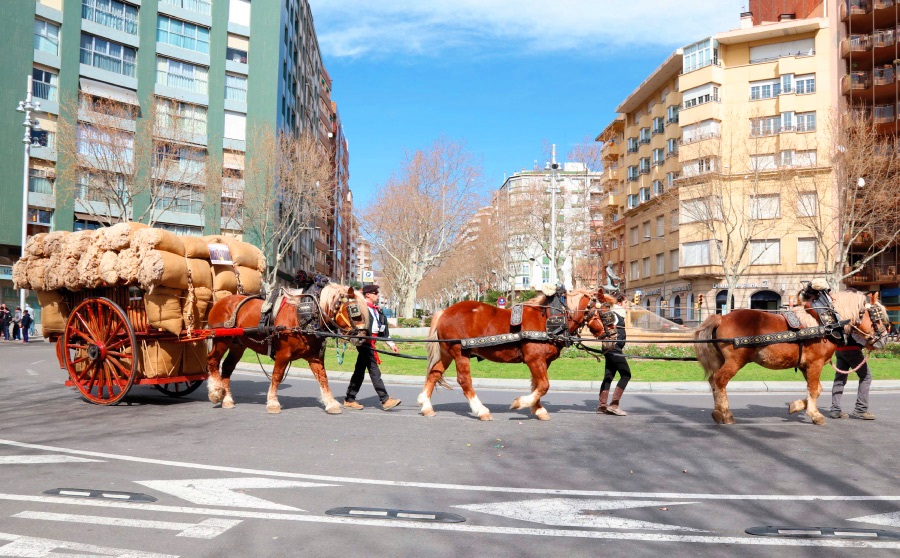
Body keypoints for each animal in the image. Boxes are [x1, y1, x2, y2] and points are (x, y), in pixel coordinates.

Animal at [207, 284, 366, 416]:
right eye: (354, 311)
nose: (362, 337)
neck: (306, 317)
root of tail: (220, 302)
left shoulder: (315, 357)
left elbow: (323, 378)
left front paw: (331, 403)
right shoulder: (283, 354)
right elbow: (277, 376)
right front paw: (273, 403)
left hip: (238, 344)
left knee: (227, 367)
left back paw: (227, 399)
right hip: (222, 340)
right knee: (212, 360)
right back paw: (216, 392)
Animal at [416, 290, 616, 422]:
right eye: (607, 314)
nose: (614, 339)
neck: (550, 319)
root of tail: (444, 312)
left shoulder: (543, 361)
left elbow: (537, 385)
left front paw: (537, 409)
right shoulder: (534, 360)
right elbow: (544, 385)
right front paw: (520, 403)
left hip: (446, 353)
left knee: (434, 374)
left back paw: (426, 405)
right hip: (460, 353)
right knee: (464, 380)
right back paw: (481, 410)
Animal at [692, 290, 888, 426]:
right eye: (877, 317)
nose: (884, 339)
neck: (827, 322)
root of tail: (722, 317)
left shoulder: (804, 365)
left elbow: (816, 389)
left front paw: (796, 406)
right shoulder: (815, 363)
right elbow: (814, 389)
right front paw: (815, 415)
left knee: (713, 381)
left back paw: (718, 412)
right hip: (735, 361)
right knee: (720, 380)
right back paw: (725, 414)